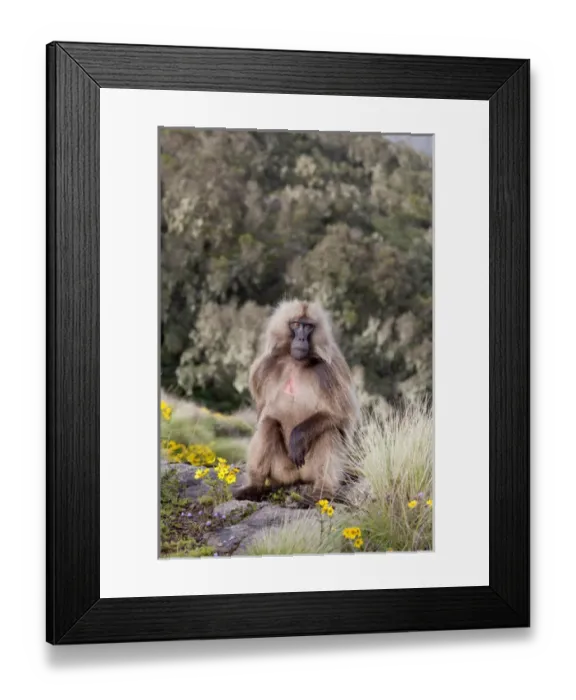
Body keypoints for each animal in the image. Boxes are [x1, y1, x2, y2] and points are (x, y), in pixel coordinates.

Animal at [233, 299, 360, 505]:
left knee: (329, 431)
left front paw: (297, 437)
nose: (301, 339)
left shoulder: (331, 369)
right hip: (281, 471)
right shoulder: (264, 367)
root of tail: (297, 479)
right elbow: (263, 414)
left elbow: (341, 415)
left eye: (308, 326)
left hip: (308, 470)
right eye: (296, 324)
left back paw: (322, 493)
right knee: (268, 424)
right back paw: (254, 487)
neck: (296, 362)